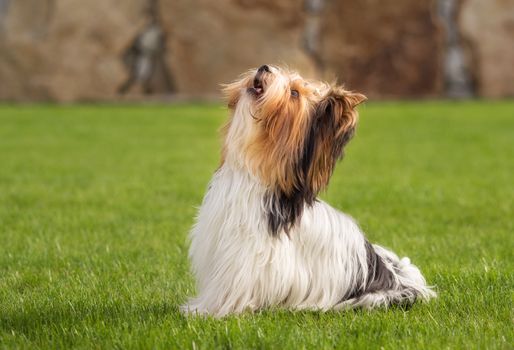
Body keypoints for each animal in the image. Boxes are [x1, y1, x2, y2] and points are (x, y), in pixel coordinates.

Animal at [180, 63, 432, 318]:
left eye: (293, 93)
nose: (264, 67)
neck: (251, 172)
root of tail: (398, 277)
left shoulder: (245, 257)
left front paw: (209, 311)